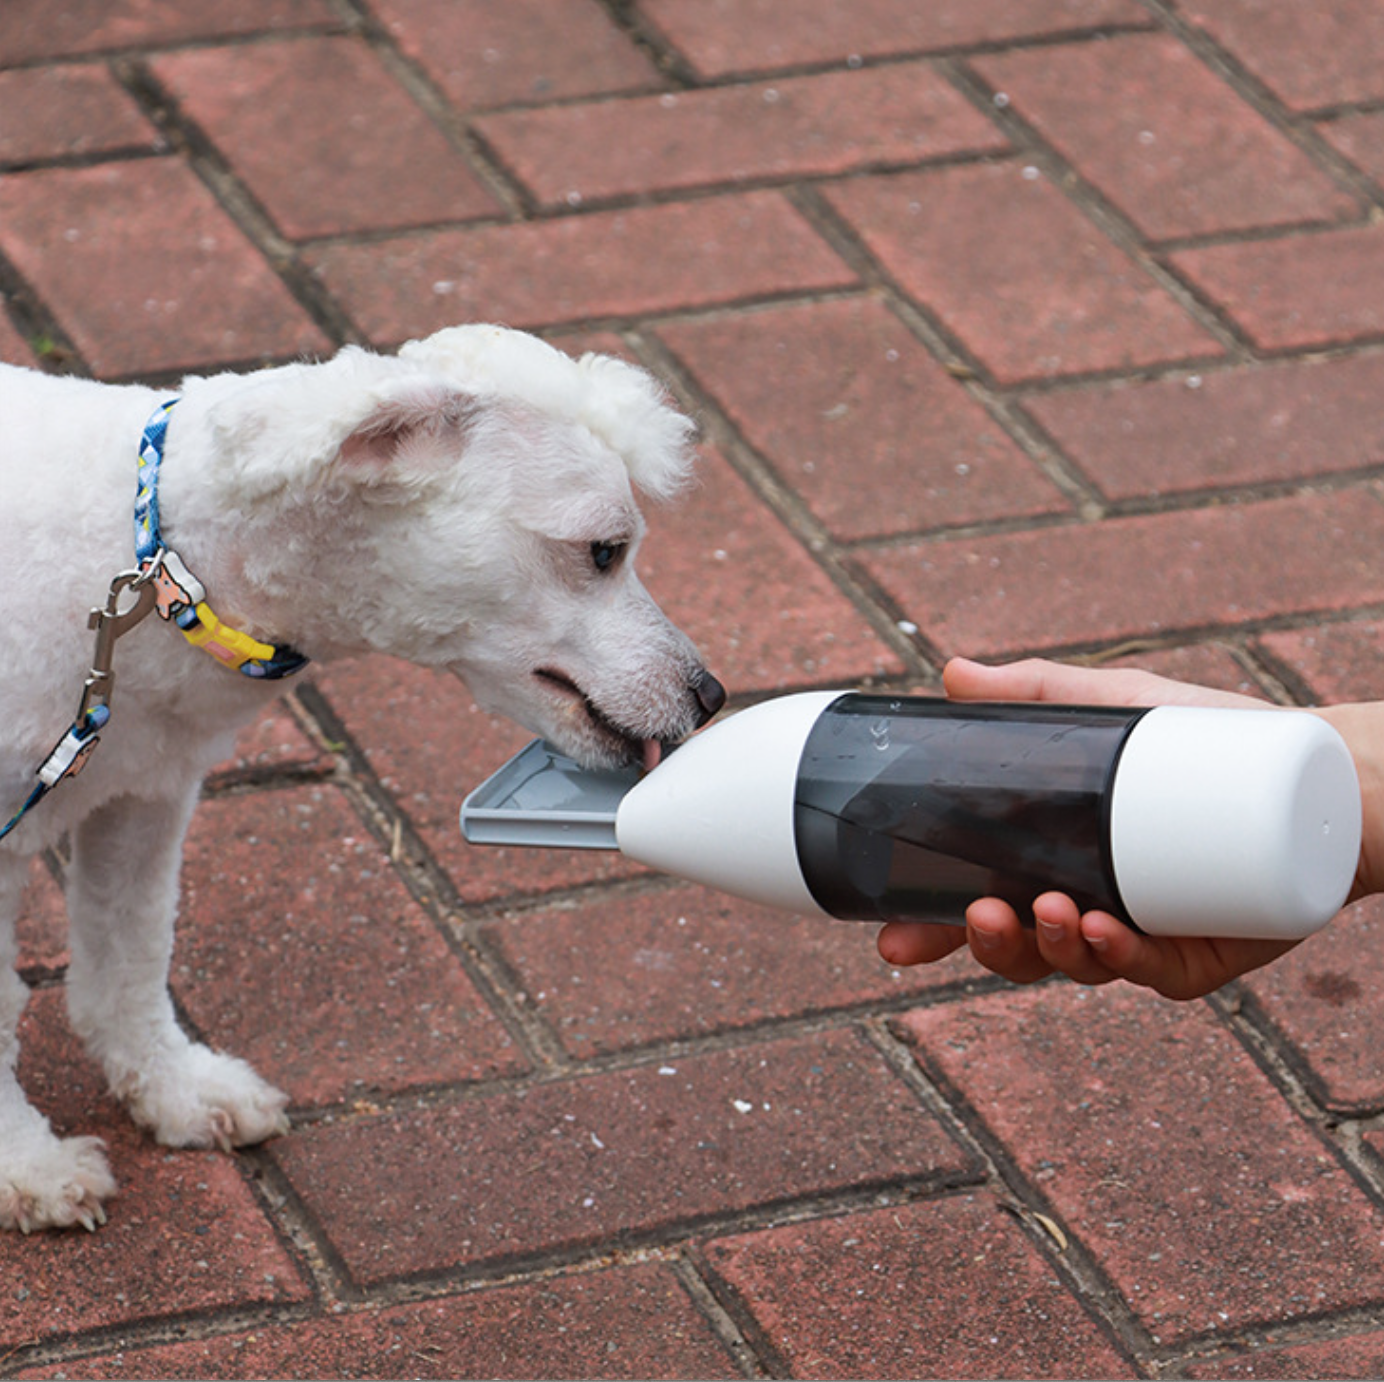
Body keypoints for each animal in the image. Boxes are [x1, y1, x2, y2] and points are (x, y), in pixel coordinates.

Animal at [0, 326, 719, 1233]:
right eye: (604, 552)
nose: (711, 696)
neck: (162, 564)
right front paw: (24, 1167)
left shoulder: (143, 794)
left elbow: (131, 954)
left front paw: (173, 1088)